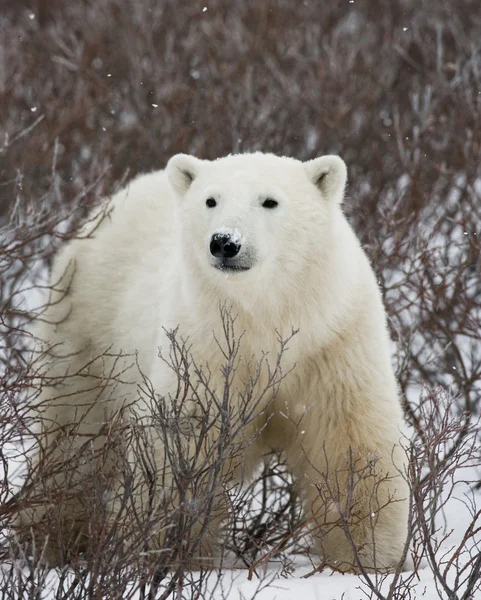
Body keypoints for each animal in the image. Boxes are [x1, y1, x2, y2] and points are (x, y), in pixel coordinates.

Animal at [19, 152, 408, 568]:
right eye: (211, 200)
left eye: (269, 201)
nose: (224, 242)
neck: (266, 318)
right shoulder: (203, 347)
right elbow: (180, 445)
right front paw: (161, 552)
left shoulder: (332, 342)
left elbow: (347, 446)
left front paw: (368, 559)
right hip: (87, 322)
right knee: (73, 431)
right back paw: (46, 538)